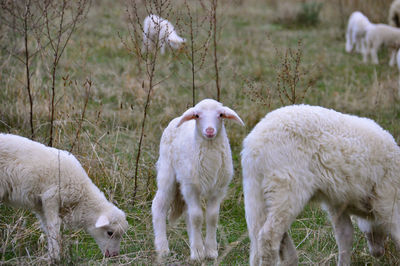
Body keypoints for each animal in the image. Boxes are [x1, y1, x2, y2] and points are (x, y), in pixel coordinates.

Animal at [0, 135, 128, 262]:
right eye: (110, 233)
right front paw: (55, 257)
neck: (82, 196)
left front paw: (52, 254)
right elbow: (54, 226)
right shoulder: (51, 197)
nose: (114, 255)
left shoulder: (41, 205)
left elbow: (47, 227)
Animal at [151, 98, 242, 260]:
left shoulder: (218, 190)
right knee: (159, 206)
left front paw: (211, 251)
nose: (210, 130)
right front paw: (198, 253)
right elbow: (197, 217)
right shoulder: (191, 188)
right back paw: (163, 249)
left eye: (220, 115)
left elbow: (211, 217)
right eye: (197, 116)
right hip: (167, 174)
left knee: (188, 213)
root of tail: (176, 119)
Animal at [241, 105, 400, 266]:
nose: (378, 253)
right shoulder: (388, 200)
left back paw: (289, 258)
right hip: (287, 186)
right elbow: (397, 234)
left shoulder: (337, 203)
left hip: (256, 189)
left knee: (261, 232)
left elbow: (345, 235)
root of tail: (253, 146)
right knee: (269, 235)